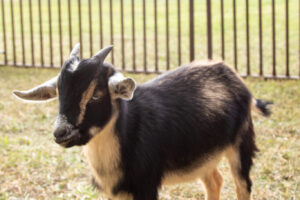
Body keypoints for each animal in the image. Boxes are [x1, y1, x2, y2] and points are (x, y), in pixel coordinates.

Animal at [13, 44, 272, 199]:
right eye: (60, 93)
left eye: (96, 95)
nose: (61, 132)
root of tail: (230, 72)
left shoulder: (146, 185)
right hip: (202, 154)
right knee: (214, 181)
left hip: (241, 142)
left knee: (242, 184)